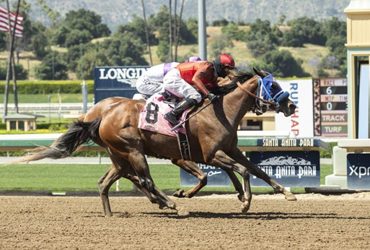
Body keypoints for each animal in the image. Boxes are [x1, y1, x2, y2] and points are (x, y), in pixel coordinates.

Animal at [18, 69, 298, 216]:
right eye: (273, 85)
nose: (292, 105)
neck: (222, 110)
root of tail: (98, 116)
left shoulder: (230, 149)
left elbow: (256, 169)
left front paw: (286, 192)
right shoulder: (210, 154)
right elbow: (240, 171)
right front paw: (245, 201)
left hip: (119, 155)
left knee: (107, 181)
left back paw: (111, 213)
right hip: (133, 150)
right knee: (145, 179)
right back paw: (172, 204)